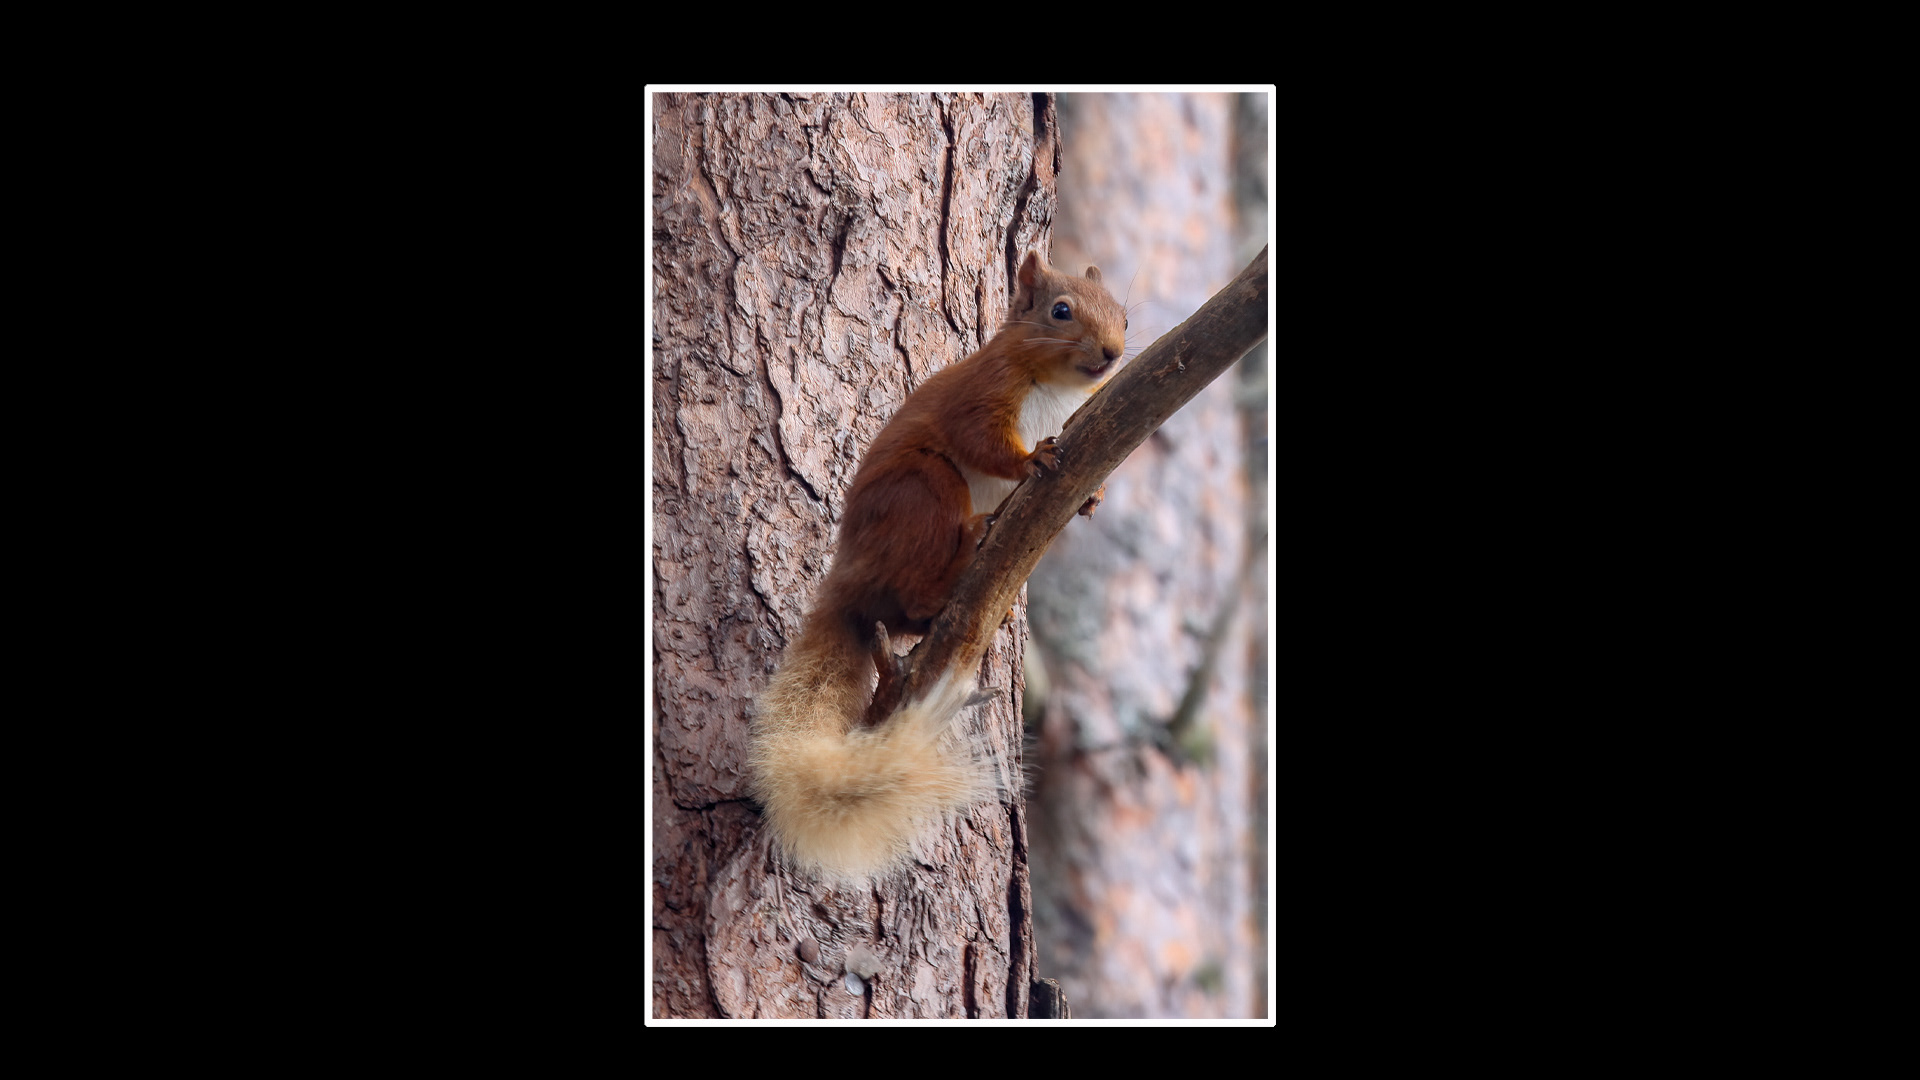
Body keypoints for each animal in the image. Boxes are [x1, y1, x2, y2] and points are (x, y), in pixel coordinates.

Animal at [750, 249, 1128, 885]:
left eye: (1123, 313)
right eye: (1060, 311)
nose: (1114, 353)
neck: (1055, 389)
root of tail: (852, 581)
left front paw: (1093, 497)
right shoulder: (982, 394)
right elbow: (981, 440)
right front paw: (1032, 460)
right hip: (925, 491)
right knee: (915, 583)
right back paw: (965, 547)